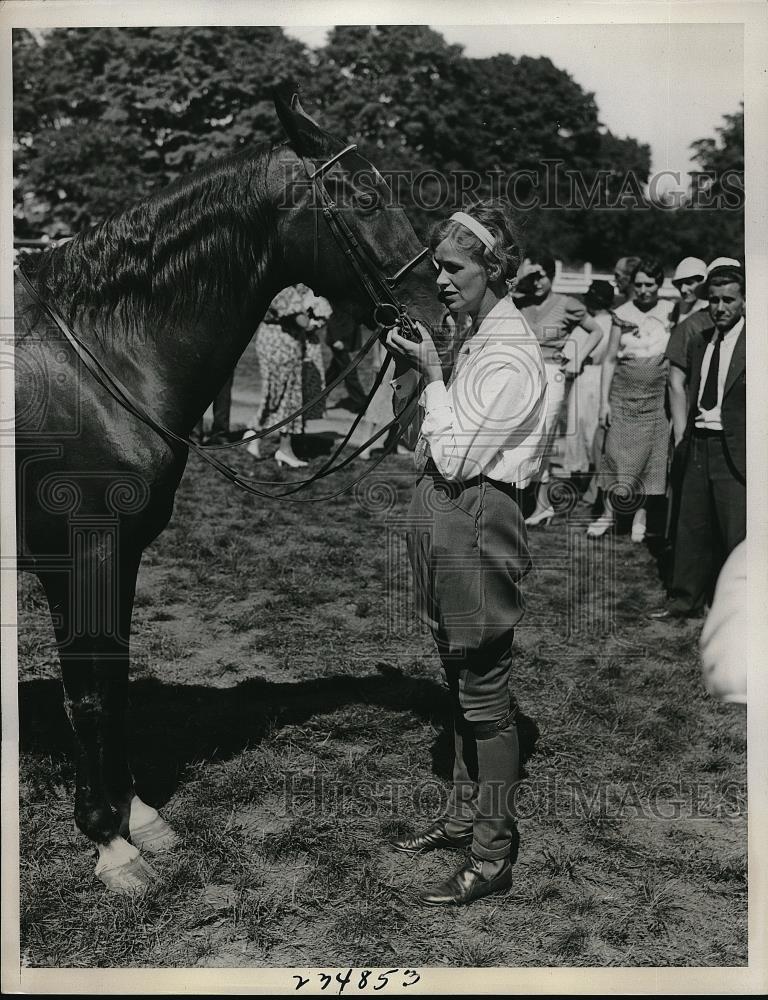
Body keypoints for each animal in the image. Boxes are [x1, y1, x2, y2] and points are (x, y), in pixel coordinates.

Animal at [15, 94, 440, 892]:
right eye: (366, 197)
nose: (437, 310)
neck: (97, 361)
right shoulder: (80, 556)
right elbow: (89, 694)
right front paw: (109, 842)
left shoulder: (121, 556)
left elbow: (114, 680)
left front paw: (139, 816)